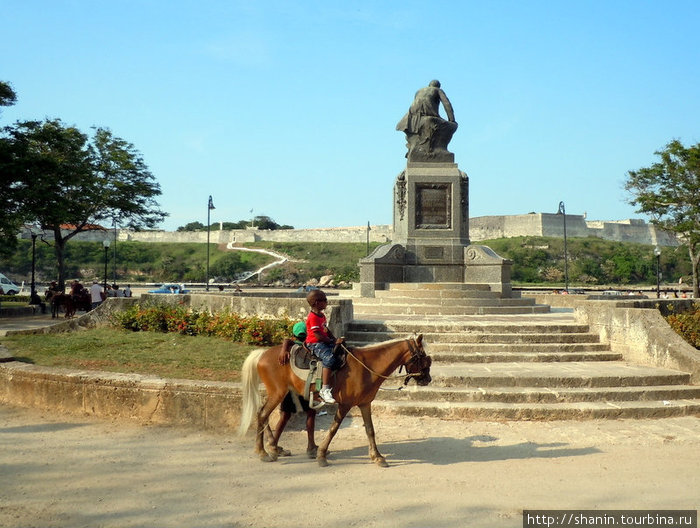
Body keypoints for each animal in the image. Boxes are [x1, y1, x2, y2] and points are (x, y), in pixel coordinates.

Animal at [238, 336, 430, 468]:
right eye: (423, 356)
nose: (427, 379)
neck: (367, 366)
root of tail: (262, 354)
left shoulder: (364, 403)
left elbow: (370, 430)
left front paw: (377, 456)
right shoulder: (345, 405)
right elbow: (333, 429)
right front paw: (321, 455)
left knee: (264, 414)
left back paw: (273, 446)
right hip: (277, 392)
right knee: (262, 413)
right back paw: (263, 451)